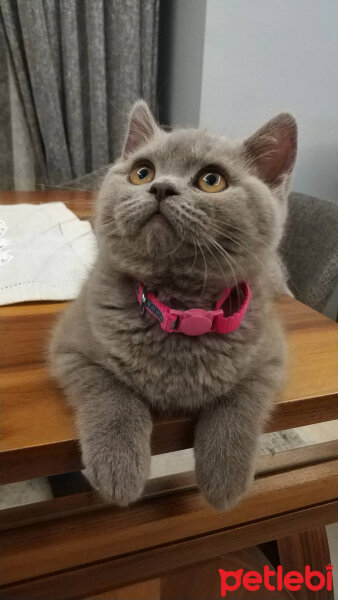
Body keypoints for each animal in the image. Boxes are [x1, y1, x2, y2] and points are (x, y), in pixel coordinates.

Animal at [48, 99, 298, 510]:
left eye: (211, 180)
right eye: (142, 172)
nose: (160, 187)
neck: (180, 308)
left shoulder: (272, 356)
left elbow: (240, 401)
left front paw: (224, 477)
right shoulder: (69, 347)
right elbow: (111, 391)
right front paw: (119, 466)